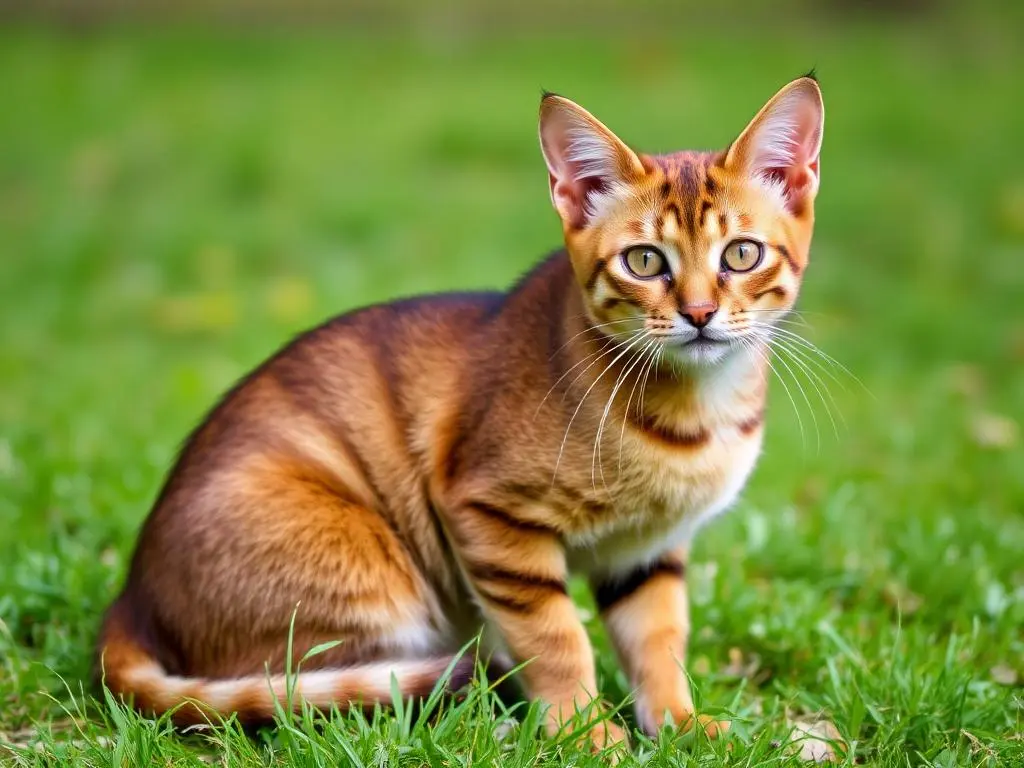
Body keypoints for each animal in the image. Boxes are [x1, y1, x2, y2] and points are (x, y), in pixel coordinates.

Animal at [97, 75, 823, 749]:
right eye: (644, 260)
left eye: (741, 253)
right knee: (310, 695)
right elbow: (559, 640)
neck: (697, 410)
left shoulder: (649, 552)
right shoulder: (493, 517)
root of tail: (129, 600)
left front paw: (682, 725)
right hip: (379, 582)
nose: (699, 313)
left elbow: (659, 643)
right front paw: (585, 734)